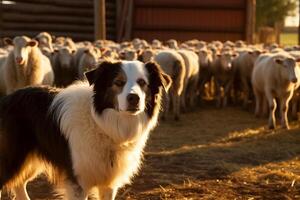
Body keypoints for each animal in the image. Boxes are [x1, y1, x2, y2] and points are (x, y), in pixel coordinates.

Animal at [0, 60, 171, 199]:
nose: (134, 98)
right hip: (13, 158)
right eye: (118, 82)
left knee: (19, 184)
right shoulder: (79, 181)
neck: (101, 124)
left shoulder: (108, 183)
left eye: (142, 82)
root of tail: (6, 99)